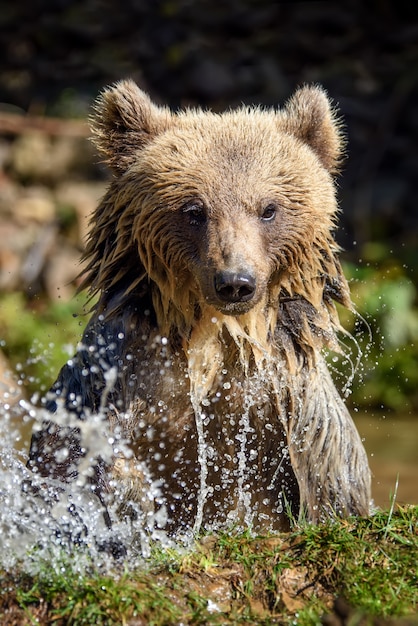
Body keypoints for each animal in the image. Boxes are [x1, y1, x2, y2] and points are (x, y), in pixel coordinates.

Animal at [27, 78, 370, 536]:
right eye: (194, 209)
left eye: (268, 209)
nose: (235, 282)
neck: (217, 338)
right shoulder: (122, 380)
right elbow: (83, 459)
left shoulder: (289, 406)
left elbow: (331, 481)